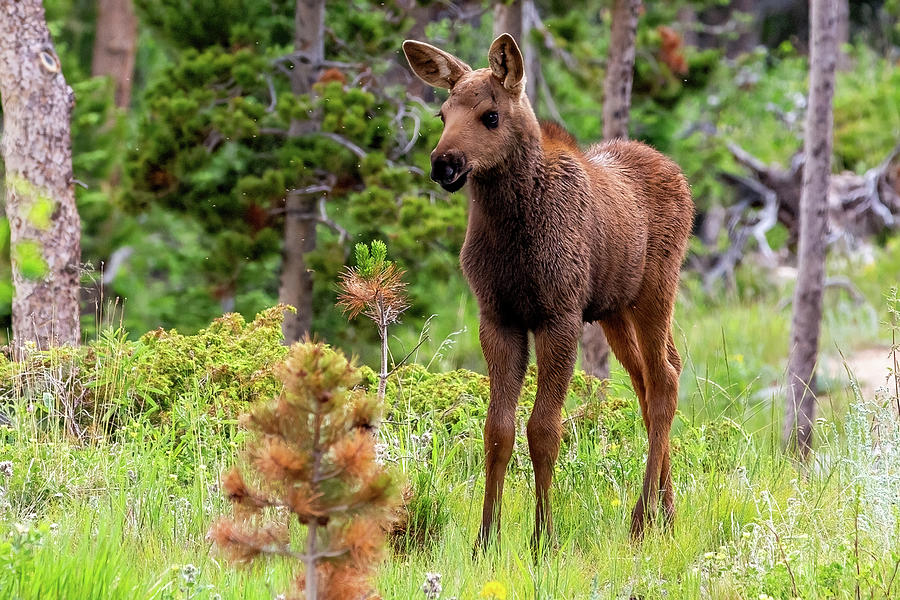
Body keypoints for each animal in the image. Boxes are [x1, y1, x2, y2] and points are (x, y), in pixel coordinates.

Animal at [404, 32, 692, 548]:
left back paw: (642, 519)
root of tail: (679, 175)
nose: (443, 164)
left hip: (655, 291)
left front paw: (543, 538)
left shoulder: (559, 316)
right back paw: (668, 513)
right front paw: (486, 538)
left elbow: (543, 430)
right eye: (442, 114)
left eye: (490, 115)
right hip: (615, 310)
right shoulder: (497, 317)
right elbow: (497, 430)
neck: (512, 232)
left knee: (663, 381)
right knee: (654, 378)